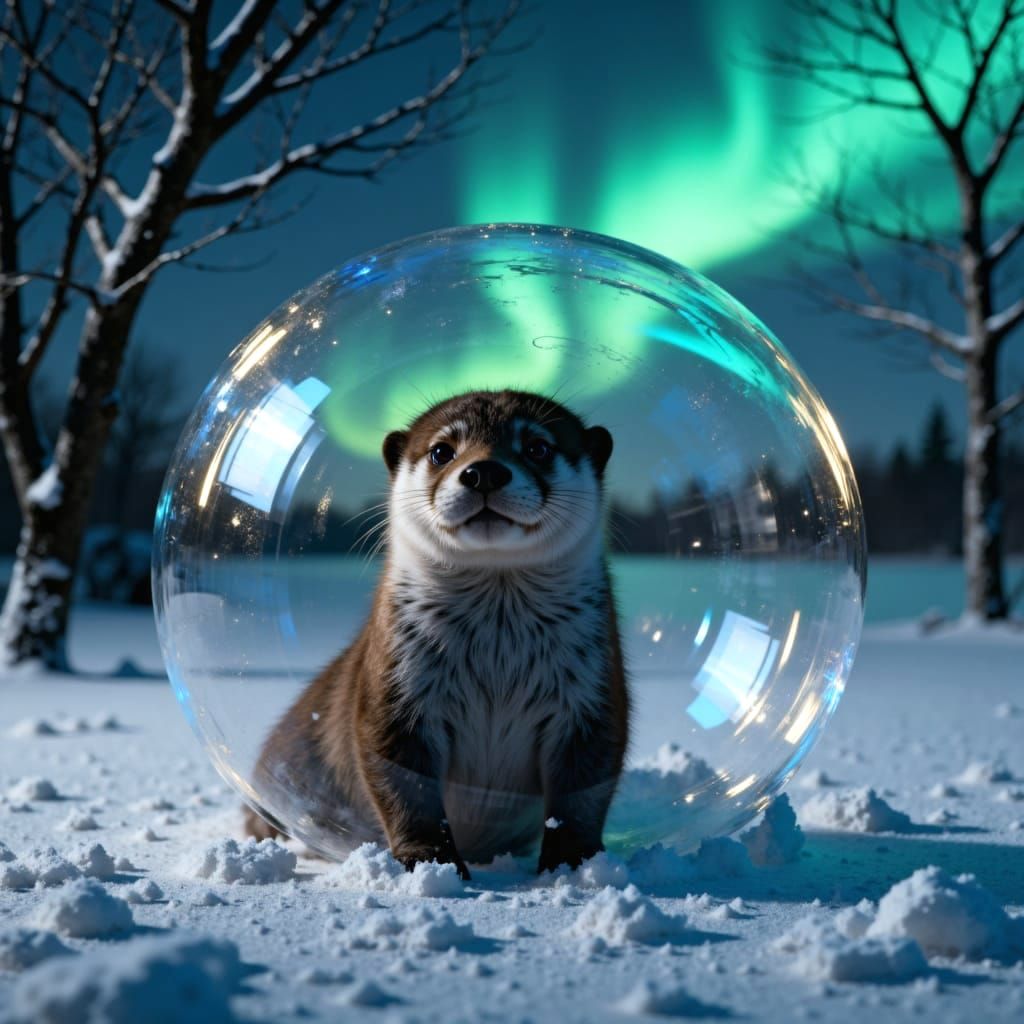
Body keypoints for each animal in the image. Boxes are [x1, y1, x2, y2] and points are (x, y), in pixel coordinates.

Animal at [244, 390, 630, 877]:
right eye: (442, 451)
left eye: (538, 447)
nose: (483, 471)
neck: (498, 662)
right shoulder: (396, 695)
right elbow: (407, 791)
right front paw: (427, 859)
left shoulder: (590, 699)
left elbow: (582, 796)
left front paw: (572, 863)